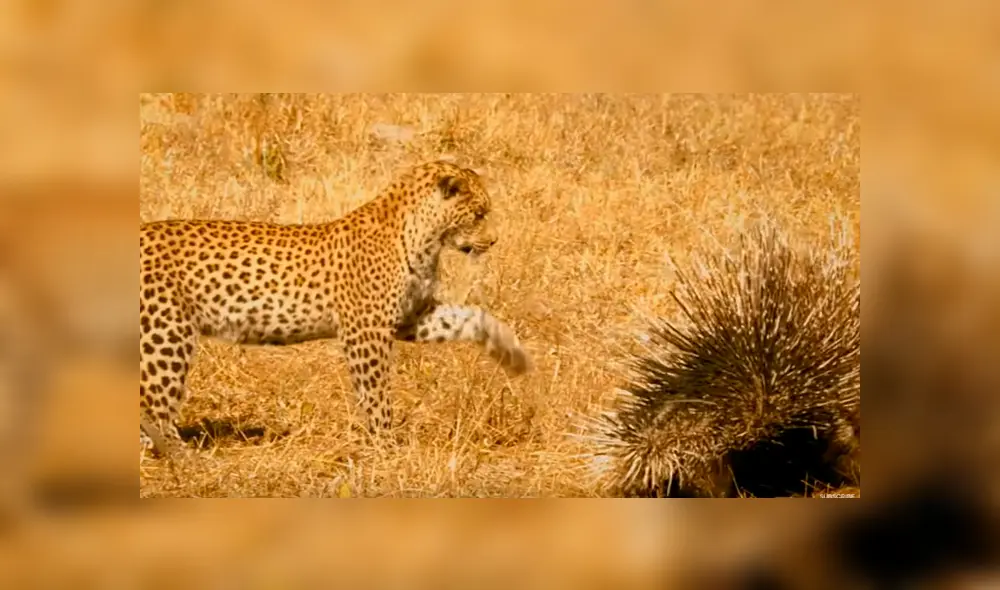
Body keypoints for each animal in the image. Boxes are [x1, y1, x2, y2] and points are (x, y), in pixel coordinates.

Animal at [139, 160, 532, 454]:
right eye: (478, 214)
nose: (493, 241)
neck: (427, 239)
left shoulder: (412, 318)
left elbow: (471, 317)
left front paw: (511, 351)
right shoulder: (366, 330)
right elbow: (376, 392)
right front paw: (386, 445)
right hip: (165, 334)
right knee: (154, 401)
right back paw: (181, 456)